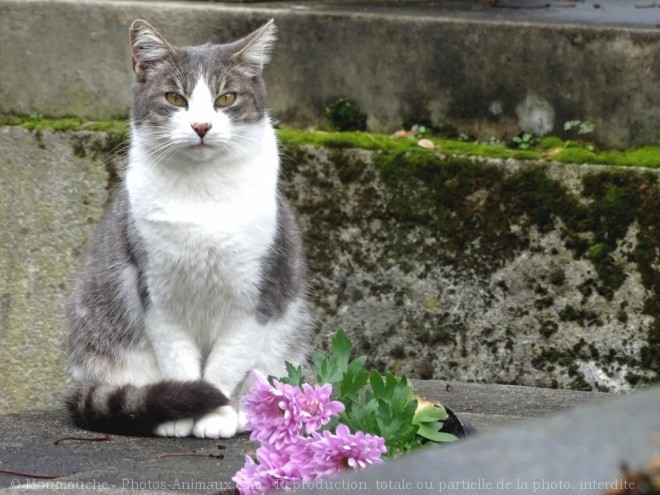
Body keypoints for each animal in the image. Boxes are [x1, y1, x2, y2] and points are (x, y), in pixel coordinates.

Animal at [65, 18, 314, 438]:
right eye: (174, 98)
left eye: (226, 98)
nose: (201, 125)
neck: (203, 194)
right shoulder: (156, 292)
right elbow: (178, 359)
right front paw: (179, 411)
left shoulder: (257, 296)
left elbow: (226, 364)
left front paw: (216, 415)